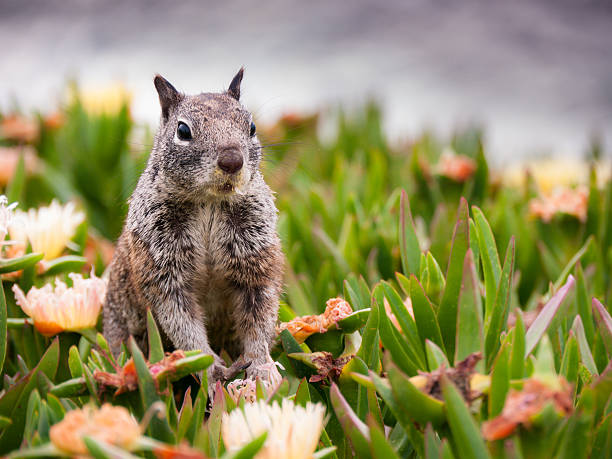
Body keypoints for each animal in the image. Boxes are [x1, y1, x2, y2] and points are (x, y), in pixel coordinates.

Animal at [103, 69, 284, 392]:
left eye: (251, 126)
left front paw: (262, 369)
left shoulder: (256, 257)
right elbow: (182, 322)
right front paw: (211, 370)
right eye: (183, 131)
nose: (231, 160)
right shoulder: (162, 267)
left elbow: (260, 316)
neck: (209, 203)